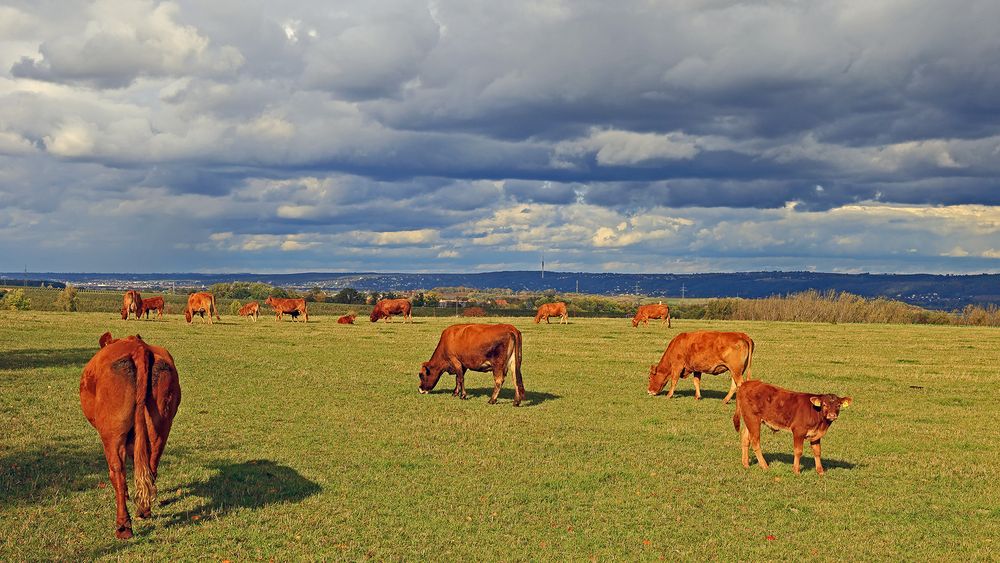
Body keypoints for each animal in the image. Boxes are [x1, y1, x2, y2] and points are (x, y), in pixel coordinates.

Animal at [78, 332, 182, 540]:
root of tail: (139, 348)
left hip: (112, 433)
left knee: (118, 471)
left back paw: (123, 526)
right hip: (160, 426)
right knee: (151, 465)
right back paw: (144, 510)